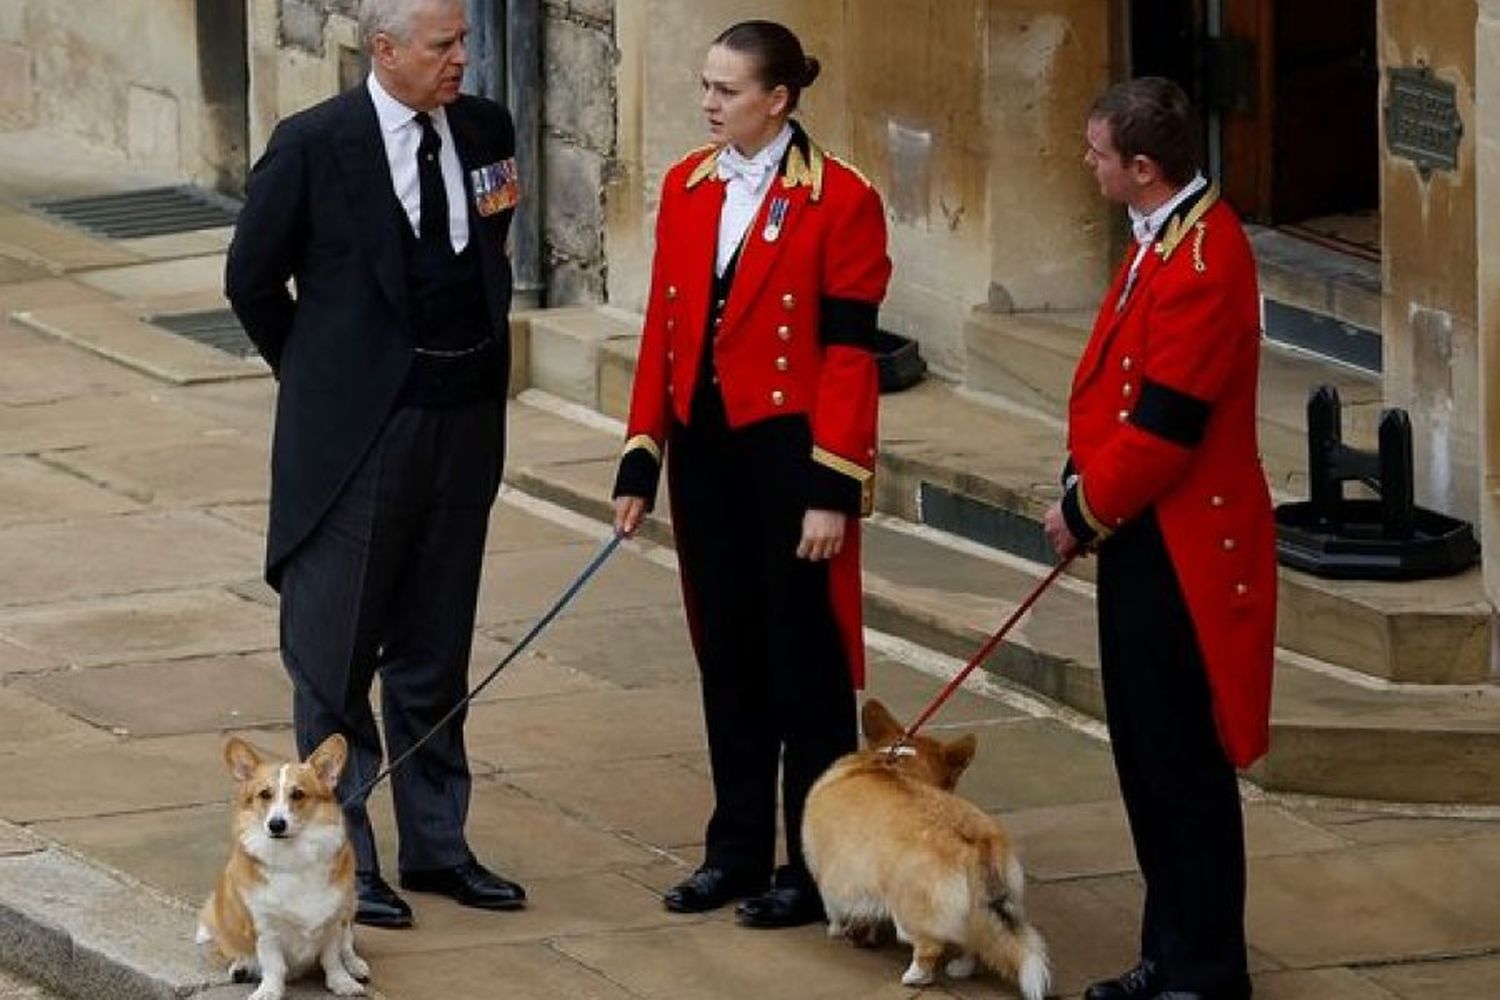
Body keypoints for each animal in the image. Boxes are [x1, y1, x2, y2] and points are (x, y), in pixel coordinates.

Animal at [196, 734, 369, 1000]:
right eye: (264, 794)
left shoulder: (332, 923)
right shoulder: (265, 929)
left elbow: (333, 959)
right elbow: (274, 965)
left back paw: (355, 965)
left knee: (347, 942)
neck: (293, 856)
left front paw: (343, 983)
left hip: (350, 904)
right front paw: (269, 991)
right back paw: (241, 966)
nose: (276, 824)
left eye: (298, 794)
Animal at [804, 701, 1050, 995]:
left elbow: (835, 907)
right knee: (974, 941)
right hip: (982, 908)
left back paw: (914, 977)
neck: (896, 764)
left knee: (929, 947)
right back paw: (960, 968)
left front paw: (836, 929)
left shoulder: (834, 873)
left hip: (909, 911)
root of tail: (976, 841)